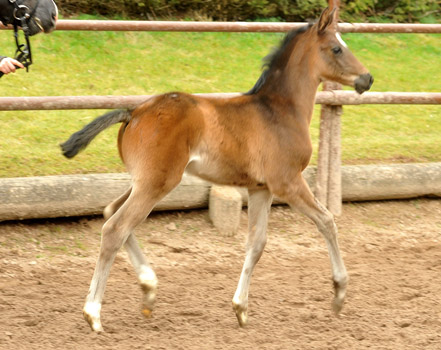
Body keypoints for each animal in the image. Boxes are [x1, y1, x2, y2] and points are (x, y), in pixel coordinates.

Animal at [62, 6, 372, 332]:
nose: (367, 78)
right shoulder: (287, 182)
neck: (280, 111)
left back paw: (149, 289)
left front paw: (241, 308)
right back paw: (94, 313)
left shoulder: (261, 188)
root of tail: (133, 112)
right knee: (115, 228)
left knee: (112, 212)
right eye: (336, 48)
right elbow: (326, 221)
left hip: (144, 181)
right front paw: (339, 293)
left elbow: (257, 243)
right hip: (157, 183)